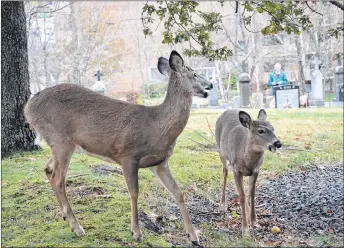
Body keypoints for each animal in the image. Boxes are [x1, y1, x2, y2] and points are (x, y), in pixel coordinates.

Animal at [24, 50, 212, 246]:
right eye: (195, 74)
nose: (211, 85)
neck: (157, 125)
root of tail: (28, 107)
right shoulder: (128, 156)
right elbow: (134, 192)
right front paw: (136, 232)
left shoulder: (160, 163)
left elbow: (178, 192)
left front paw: (194, 236)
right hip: (61, 140)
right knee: (58, 179)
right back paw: (77, 227)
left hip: (59, 144)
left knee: (48, 169)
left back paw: (65, 217)